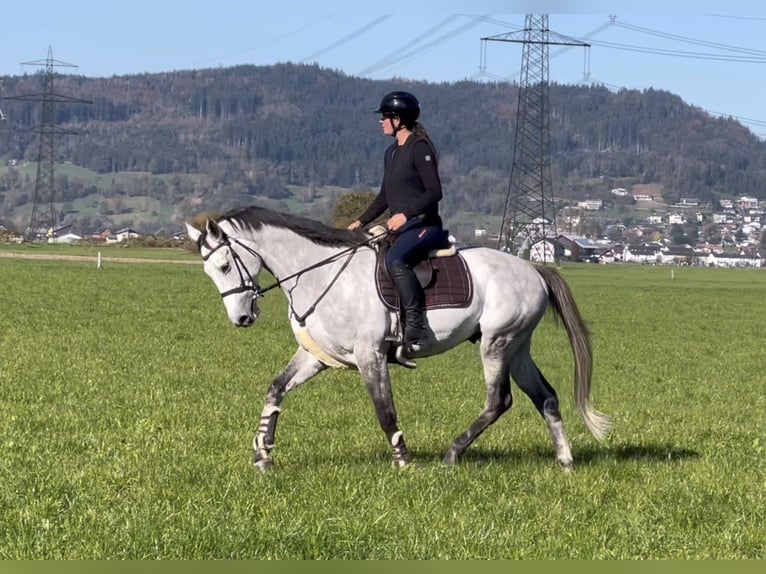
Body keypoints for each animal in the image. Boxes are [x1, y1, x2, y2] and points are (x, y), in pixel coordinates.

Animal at [186, 206, 612, 472]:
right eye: (210, 272)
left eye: (224, 266)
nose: (241, 318)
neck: (319, 275)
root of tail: (533, 269)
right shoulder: (316, 356)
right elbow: (275, 390)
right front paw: (263, 455)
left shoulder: (370, 354)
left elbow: (384, 409)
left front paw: (403, 461)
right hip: (518, 346)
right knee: (546, 396)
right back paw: (565, 460)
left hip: (497, 343)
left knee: (499, 400)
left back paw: (452, 454)